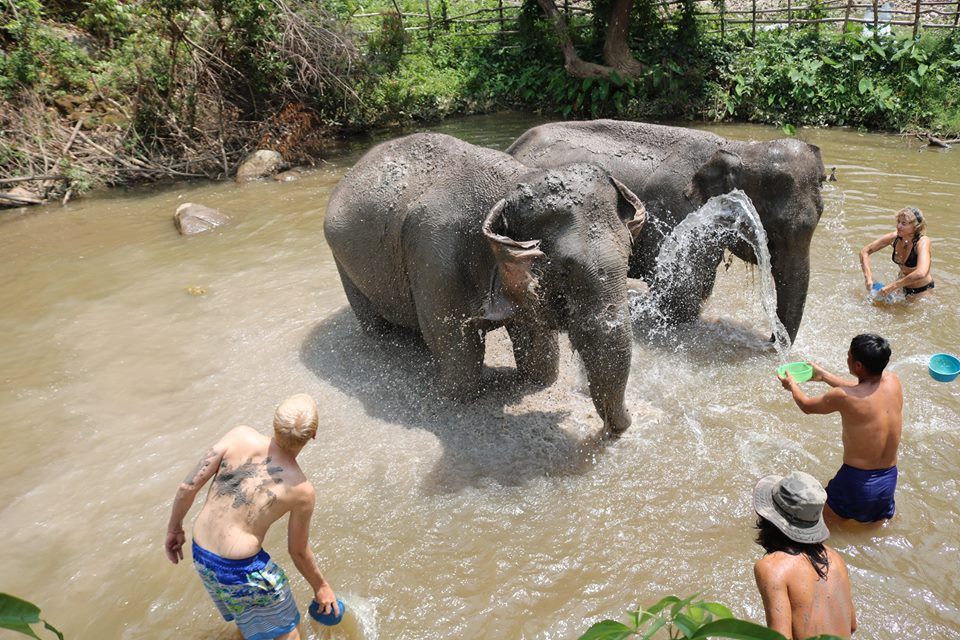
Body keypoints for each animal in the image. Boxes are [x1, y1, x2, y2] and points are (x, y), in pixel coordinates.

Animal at [323, 133, 646, 435]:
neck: (510, 186)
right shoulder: (435, 263)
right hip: (343, 263)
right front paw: (460, 395)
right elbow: (460, 362)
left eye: (628, 256)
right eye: (564, 269)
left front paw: (536, 378)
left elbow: (539, 355)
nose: (617, 426)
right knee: (375, 327)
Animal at [507, 119, 827, 345]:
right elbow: (680, 298)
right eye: (775, 230)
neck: (737, 147)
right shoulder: (677, 214)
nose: (770, 342)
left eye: (821, 214)